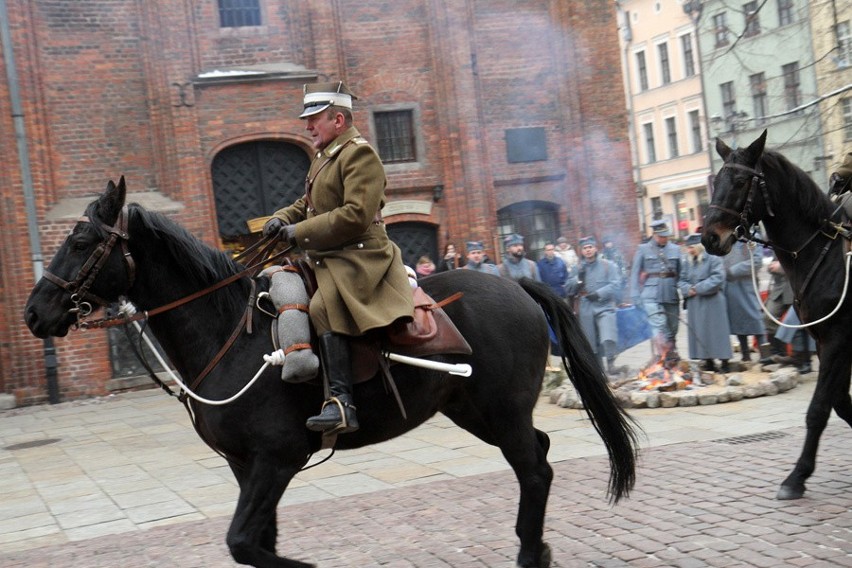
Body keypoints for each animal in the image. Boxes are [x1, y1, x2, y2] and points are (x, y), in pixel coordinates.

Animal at [23, 179, 636, 568]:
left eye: (81, 241)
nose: (34, 312)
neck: (228, 333)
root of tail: (518, 285)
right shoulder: (245, 466)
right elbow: (258, 543)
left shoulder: (277, 458)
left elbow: (243, 542)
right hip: (474, 411)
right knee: (539, 455)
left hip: (501, 411)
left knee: (533, 470)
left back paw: (530, 554)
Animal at [704, 131, 848, 500]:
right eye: (716, 181)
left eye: (741, 182)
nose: (708, 238)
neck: (823, 254)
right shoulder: (826, 341)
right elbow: (840, 402)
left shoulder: (839, 339)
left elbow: (819, 409)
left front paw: (796, 477)